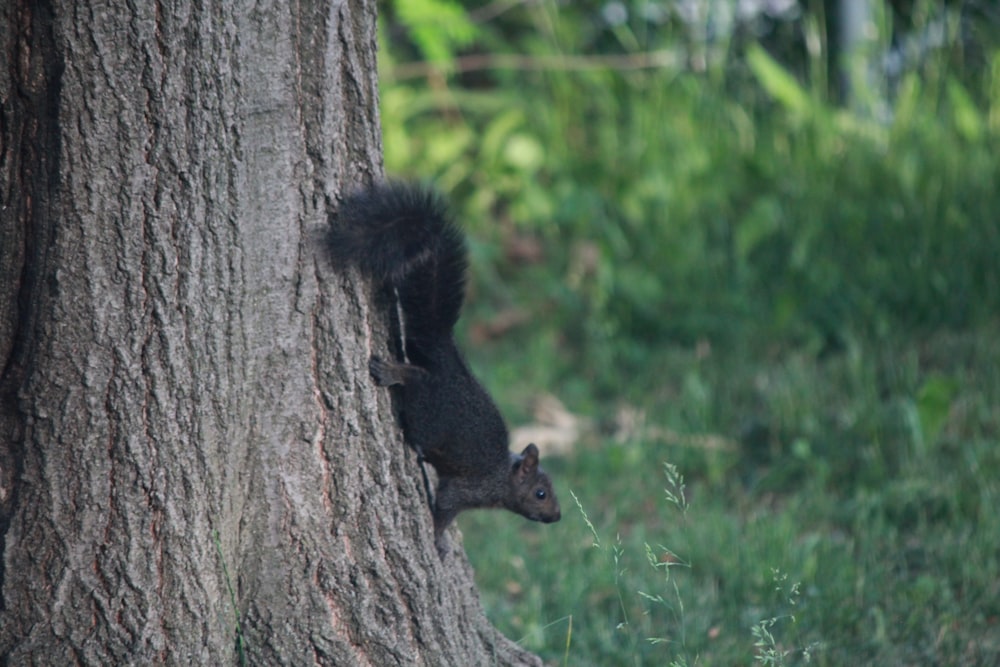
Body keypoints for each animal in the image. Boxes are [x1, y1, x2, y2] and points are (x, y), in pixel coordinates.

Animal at [330, 181, 560, 552]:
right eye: (540, 494)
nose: (557, 516)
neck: (502, 476)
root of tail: (447, 360)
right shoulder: (467, 488)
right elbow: (447, 507)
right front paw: (438, 538)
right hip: (430, 411)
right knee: (416, 381)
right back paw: (394, 375)